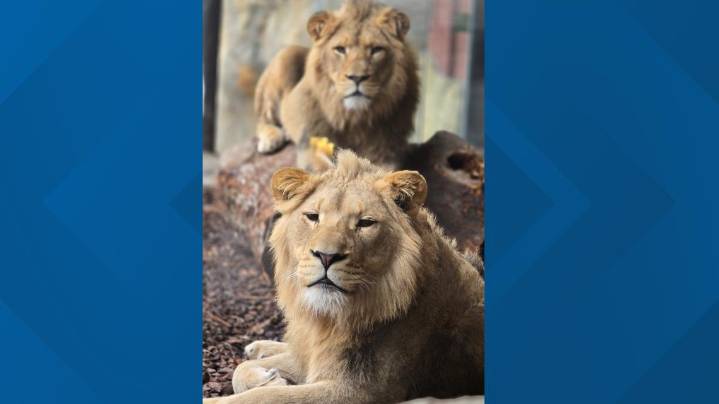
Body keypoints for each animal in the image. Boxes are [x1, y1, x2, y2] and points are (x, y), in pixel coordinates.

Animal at [205, 150, 484, 404]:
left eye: (365, 223)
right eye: (313, 217)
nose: (326, 256)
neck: (331, 319)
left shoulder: (359, 389)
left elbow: (265, 397)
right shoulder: (318, 357)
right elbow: (242, 371)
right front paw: (270, 377)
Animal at [253, 0, 419, 170]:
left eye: (376, 50)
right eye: (340, 49)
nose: (357, 77)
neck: (354, 119)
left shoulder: (387, 151)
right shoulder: (311, 143)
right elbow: (324, 169)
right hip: (286, 55)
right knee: (262, 119)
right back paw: (272, 138)